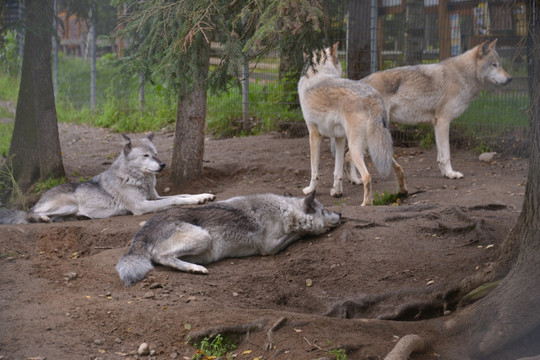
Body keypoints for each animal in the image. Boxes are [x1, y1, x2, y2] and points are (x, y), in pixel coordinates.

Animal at [0, 134, 215, 224]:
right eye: (146, 156)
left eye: (156, 154)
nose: (162, 165)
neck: (136, 178)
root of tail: (40, 199)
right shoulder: (141, 206)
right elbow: (176, 199)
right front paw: (196, 200)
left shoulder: (153, 198)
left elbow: (184, 194)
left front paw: (204, 196)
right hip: (68, 204)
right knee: (30, 214)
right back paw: (43, 218)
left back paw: (80, 217)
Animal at [116, 191, 340, 286]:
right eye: (325, 210)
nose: (340, 214)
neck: (284, 211)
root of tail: (142, 231)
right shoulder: (269, 247)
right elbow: (297, 234)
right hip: (203, 237)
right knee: (163, 258)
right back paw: (195, 269)